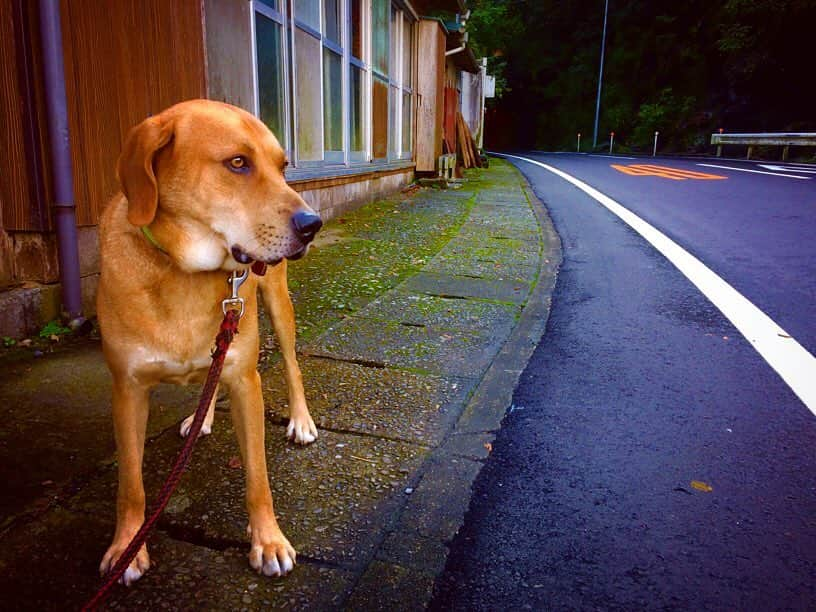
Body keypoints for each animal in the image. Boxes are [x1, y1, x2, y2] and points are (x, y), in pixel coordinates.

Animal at [96, 99, 322, 584]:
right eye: (237, 163)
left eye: (282, 167)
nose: (313, 223)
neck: (184, 270)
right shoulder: (127, 390)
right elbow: (131, 483)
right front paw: (127, 546)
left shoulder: (245, 380)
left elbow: (257, 478)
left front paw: (267, 541)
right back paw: (201, 419)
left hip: (277, 304)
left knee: (292, 364)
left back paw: (301, 420)